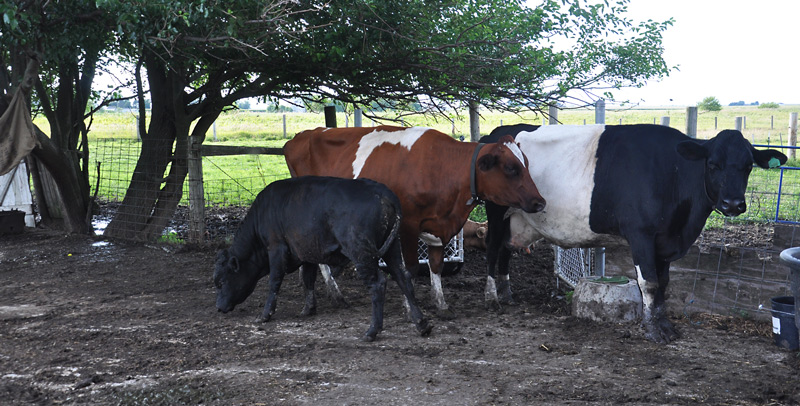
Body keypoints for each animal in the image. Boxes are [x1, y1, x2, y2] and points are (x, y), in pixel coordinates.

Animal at [213, 176, 432, 342]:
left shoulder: (276, 248)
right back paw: (422, 324)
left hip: (361, 252)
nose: (219, 307)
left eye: (221, 281)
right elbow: (308, 279)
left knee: (378, 283)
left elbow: (274, 281)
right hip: (392, 249)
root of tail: (383, 191)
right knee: (403, 278)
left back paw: (372, 331)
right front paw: (308, 309)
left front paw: (265, 315)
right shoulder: (306, 252)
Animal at [283, 126, 546, 318]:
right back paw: (334, 294)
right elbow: (408, 268)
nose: (540, 202)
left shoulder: (439, 226)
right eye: (511, 168)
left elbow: (436, 265)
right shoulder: (408, 225)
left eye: (526, 164)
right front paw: (410, 307)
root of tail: (305, 134)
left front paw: (441, 304)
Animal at [480, 123, 786, 343]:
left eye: (748, 166)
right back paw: (492, 297)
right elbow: (649, 284)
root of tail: (496, 134)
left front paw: (664, 325)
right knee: (493, 249)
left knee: (506, 250)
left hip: (516, 219)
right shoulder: (641, 235)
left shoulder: (664, 242)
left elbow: (663, 284)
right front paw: (653, 331)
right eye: (713, 164)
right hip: (495, 212)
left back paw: (507, 294)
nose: (733, 204)